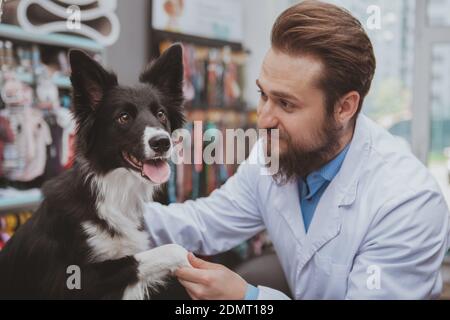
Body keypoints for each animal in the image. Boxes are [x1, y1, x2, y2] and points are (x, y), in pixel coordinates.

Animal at [0, 43, 191, 298]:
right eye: (123, 117)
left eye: (160, 114)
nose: (162, 142)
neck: (114, 189)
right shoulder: (72, 279)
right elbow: (170, 250)